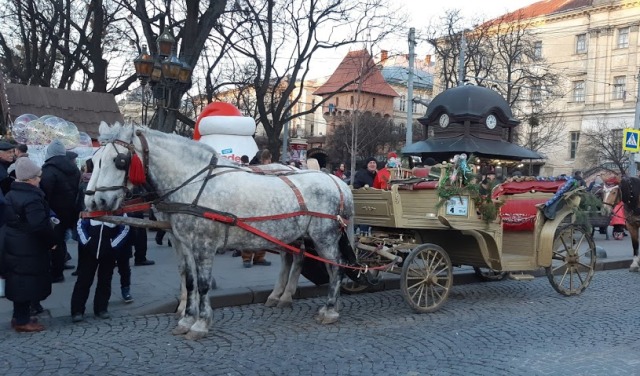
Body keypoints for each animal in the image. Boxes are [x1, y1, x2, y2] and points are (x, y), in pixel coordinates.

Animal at [84, 122, 356, 340]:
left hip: (324, 238)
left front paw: (200, 324)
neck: (194, 185)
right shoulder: (184, 242)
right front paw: (186, 318)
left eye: (119, 161)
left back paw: (330, 309)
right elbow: (190, 281)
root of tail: (338, 182)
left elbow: (203, 284)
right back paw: (283, 297)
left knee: (336, 268)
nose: (97, 201)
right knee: (297, 259)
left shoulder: (204, 246)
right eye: (95, 161)